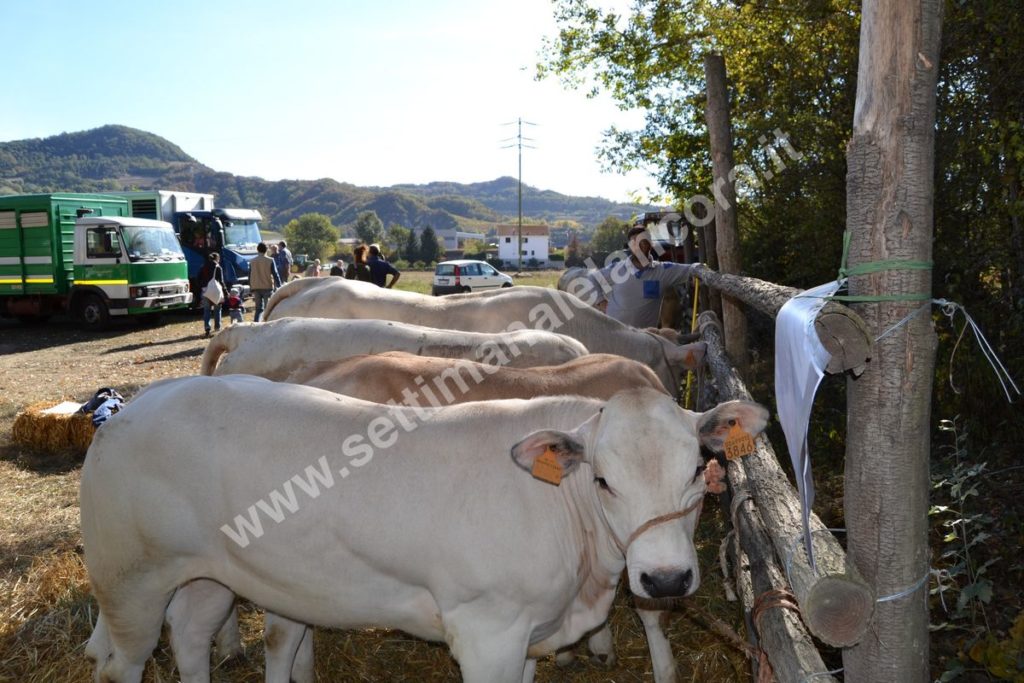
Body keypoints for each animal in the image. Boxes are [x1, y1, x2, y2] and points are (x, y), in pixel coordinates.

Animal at [81, 376, 770, 679]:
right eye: (602, 480)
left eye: (698, 469)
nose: (665, 579)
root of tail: (137, 403)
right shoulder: (487, 629)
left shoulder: (529, 633)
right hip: (128, 578)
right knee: (123, 664)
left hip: (207, 574)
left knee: (191, 635)